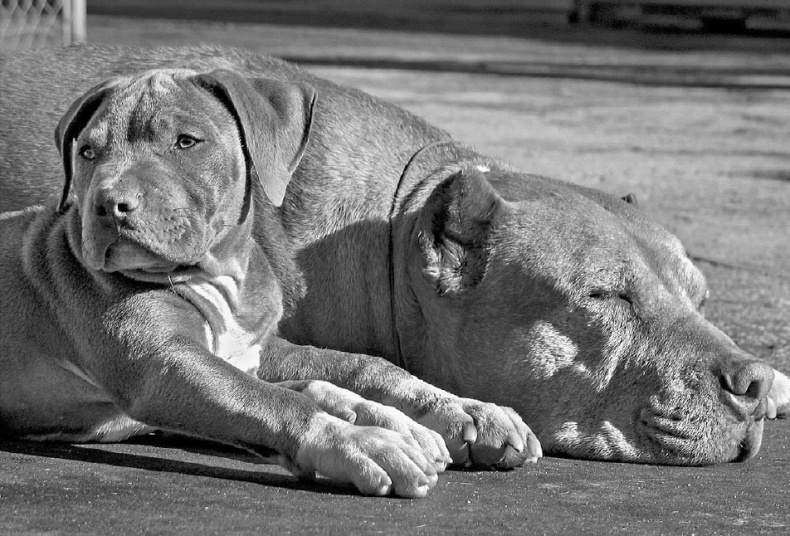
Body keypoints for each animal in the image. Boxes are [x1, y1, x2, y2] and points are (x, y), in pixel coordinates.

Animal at [0, 45, 788, 464]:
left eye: (701, 297)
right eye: (605, 296)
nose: (750, 382)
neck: (390, 228)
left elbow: (366, 367)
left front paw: (461, 410)